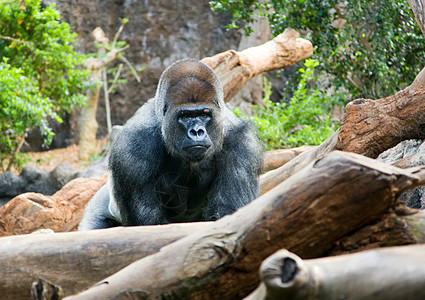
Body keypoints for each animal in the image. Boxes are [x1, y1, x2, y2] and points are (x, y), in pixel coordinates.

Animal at [78, 58, 260, 230]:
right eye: (184, 116)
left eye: (204, 114)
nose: (196, 132)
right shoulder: (132, 151)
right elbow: (148, 224)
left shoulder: (241, 144)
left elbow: (226, 214)